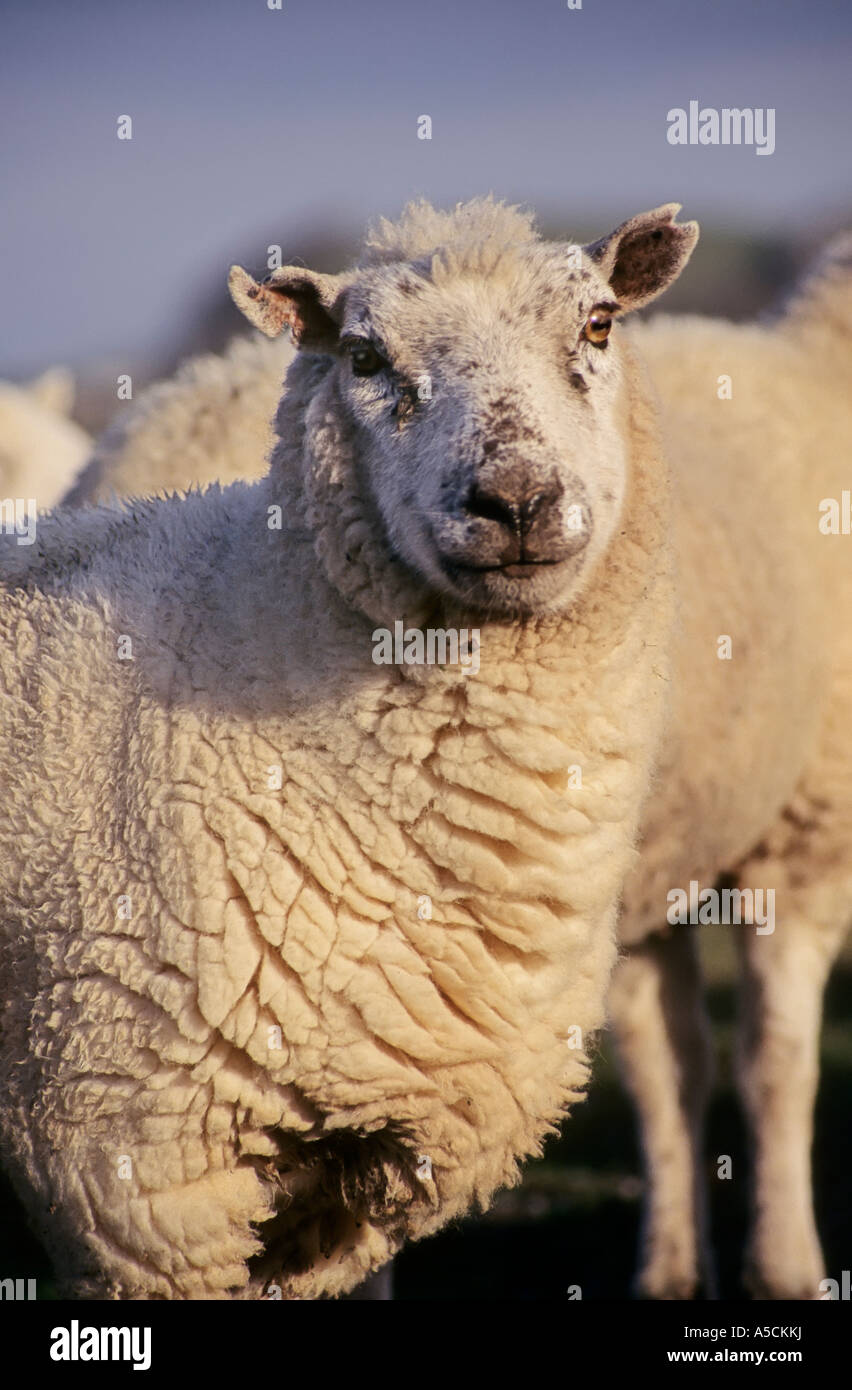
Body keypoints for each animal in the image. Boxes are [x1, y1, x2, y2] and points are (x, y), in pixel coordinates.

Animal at [59, 213, 852, 1301]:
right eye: (365, 356)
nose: (515, 500)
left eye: (599, 321)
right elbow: (764, 1063)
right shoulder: (801, 833)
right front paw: (780, 1269)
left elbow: (728, 1061)